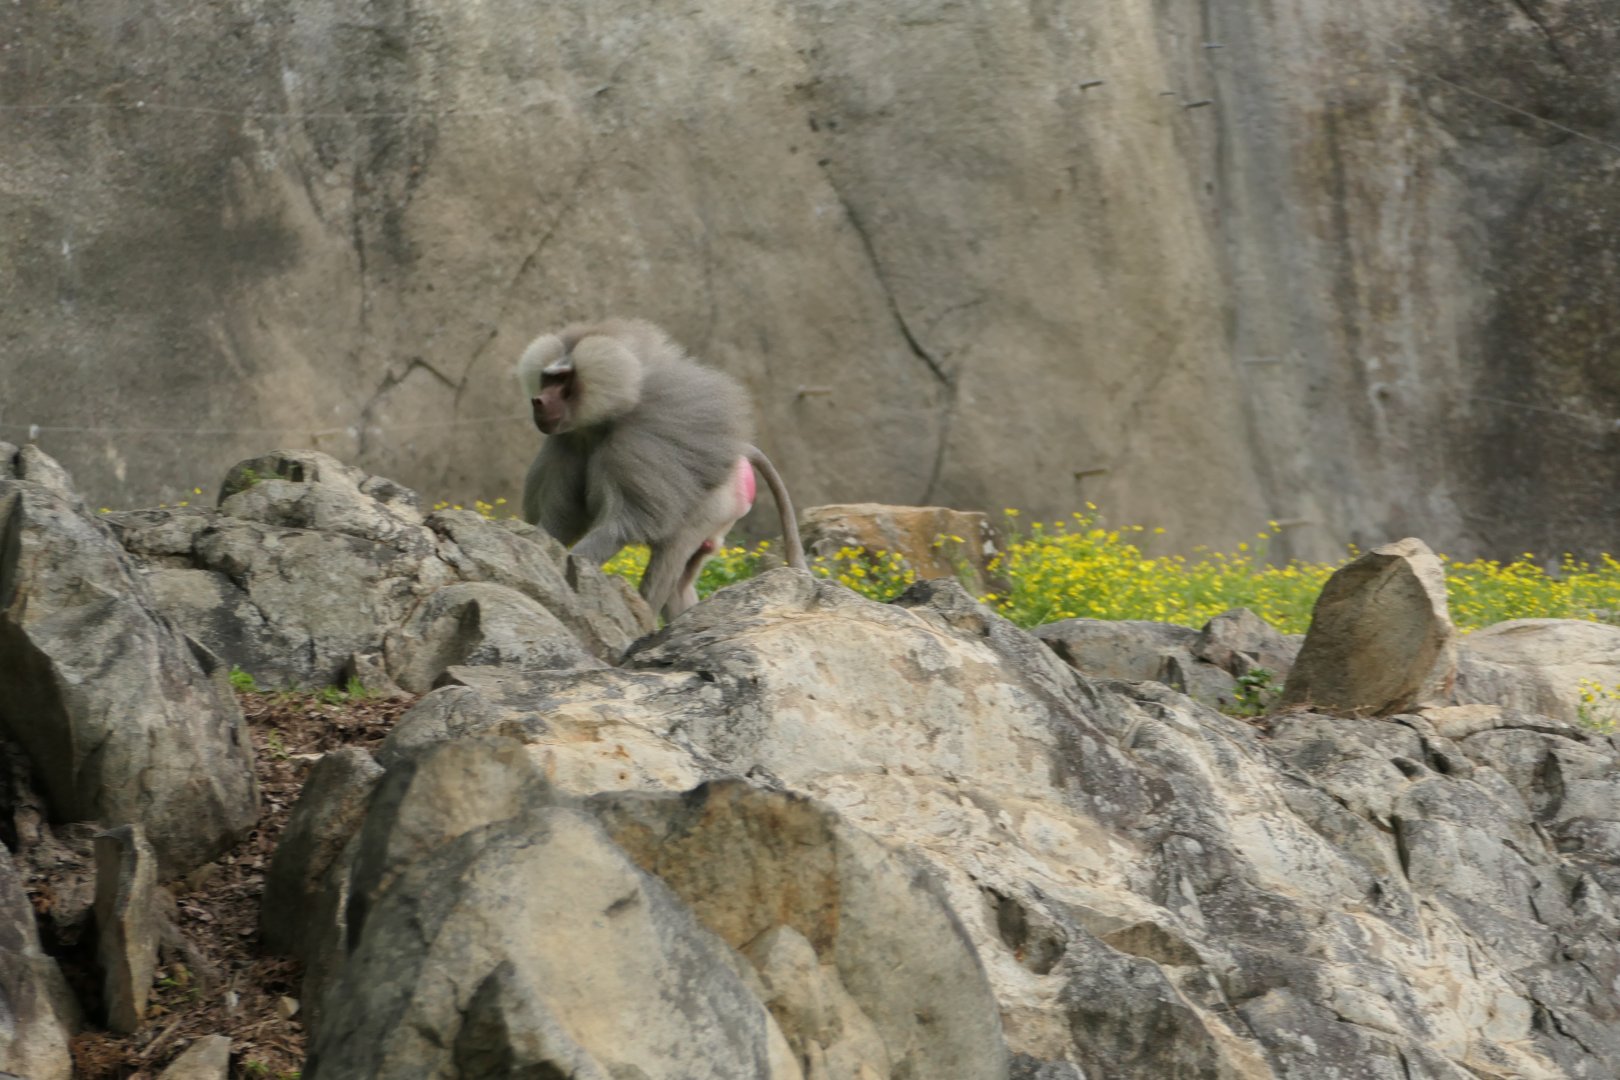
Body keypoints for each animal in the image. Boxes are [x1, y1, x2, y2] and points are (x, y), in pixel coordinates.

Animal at [517, 318, 807, 620]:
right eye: (548, 378)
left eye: (563, 379)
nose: (538, 401)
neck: (599, 424)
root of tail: (739, 449)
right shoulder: (565, 444)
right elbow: (559, 522)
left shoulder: (635, 447)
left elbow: (623, 525)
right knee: (681, 582)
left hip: (719, 501)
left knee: (672, 552)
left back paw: (645, 613)